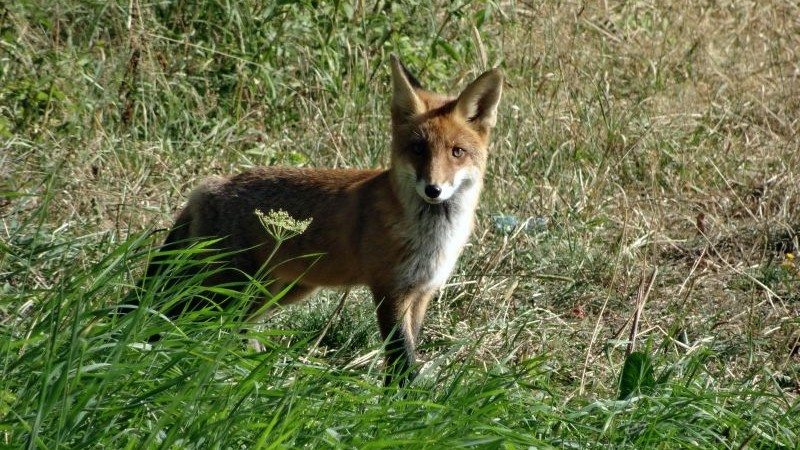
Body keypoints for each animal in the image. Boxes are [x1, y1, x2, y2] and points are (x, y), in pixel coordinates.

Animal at [140, 56, 503, 386]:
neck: (432, 237)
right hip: (224, 287)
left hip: (272, 292)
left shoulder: (421, 292)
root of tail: (209, 185)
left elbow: (408, 354)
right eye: (417, 149)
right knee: (171, 314)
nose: (433, 189)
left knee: (233, 327)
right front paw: (400, 405)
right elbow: (401, 361)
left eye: (456, 152)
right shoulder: (390, 289)